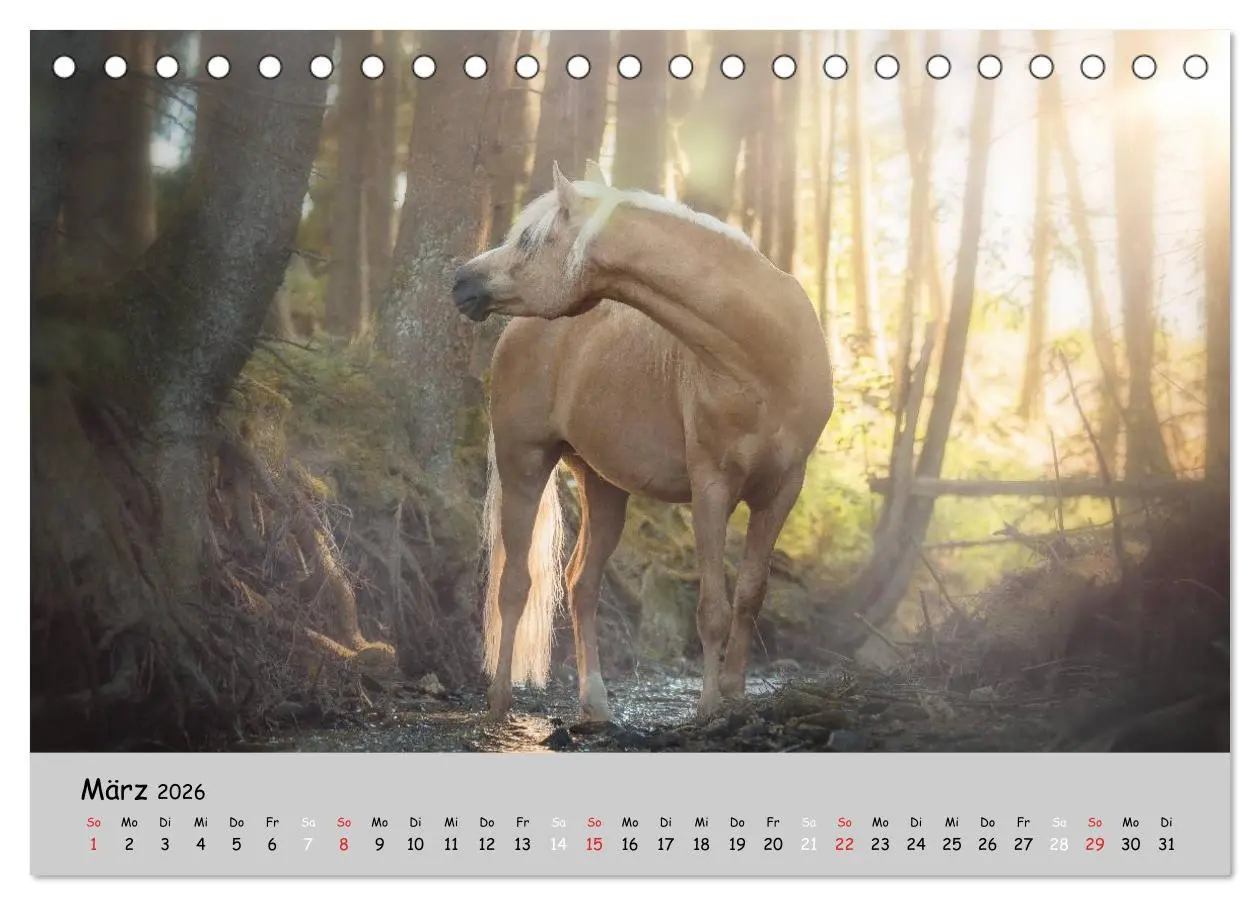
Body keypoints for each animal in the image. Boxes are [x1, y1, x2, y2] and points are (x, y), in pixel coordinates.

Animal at [450, 161, 834, 723]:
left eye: (527, 240)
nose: (461, 281)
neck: (765, 356)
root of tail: (519, 332)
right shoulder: (712, 489)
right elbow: (712, 608)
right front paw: (708, 709)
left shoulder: (783, 489)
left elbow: (749, 596)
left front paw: (736, 697)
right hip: (525, 462)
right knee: (516, 584)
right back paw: (500, 702)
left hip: (603, 485)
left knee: (581, 583)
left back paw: (595, 703)